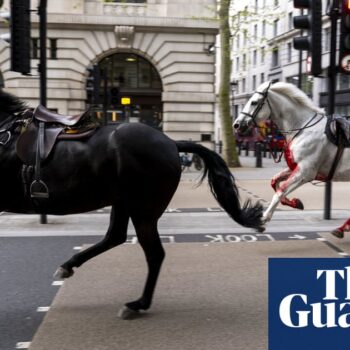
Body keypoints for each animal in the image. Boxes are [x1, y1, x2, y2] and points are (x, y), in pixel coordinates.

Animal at [0, 90, 262, 318]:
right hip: (124, 203)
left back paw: (138, 304)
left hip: (143, 210)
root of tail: (170, 142)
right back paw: (70, 266)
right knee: (115, 237)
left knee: (154, 253)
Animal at [232, 80, 350, 237]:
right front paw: (295, 202)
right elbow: (275, 183)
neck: (303, 129)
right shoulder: (295, 167)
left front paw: (262, 220)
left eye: (254, 102)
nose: (236, 125)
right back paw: (341, 229)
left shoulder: (305, 172)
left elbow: (279, 191)